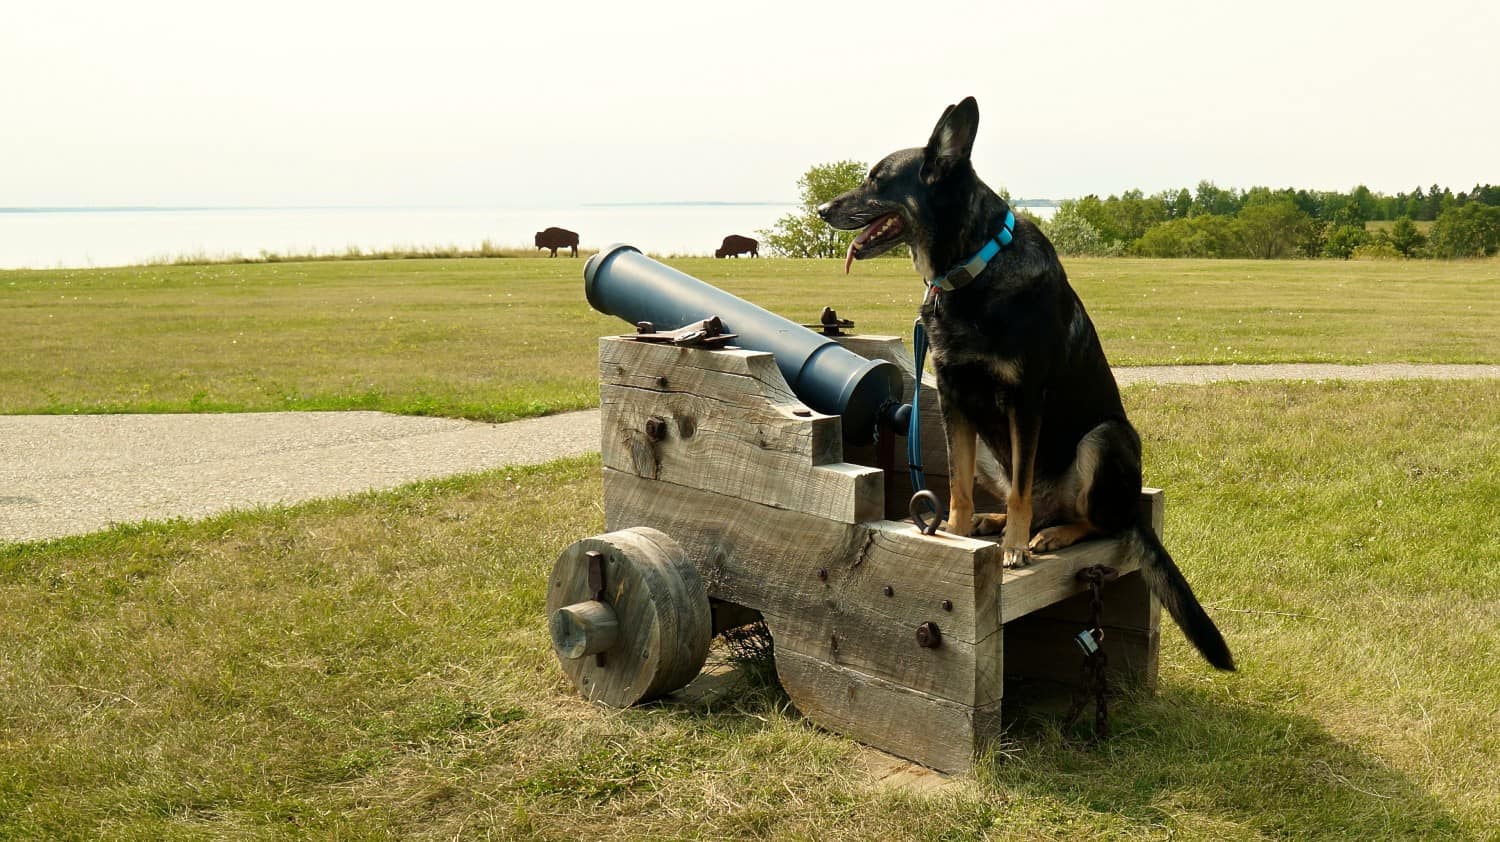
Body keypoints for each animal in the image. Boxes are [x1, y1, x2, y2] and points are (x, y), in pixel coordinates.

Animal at [822, 95, 1230, 666]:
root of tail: (1135, 505)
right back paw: (992, 525)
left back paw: (1050, 534)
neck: (971, 269)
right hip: (993, 449)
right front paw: (956, 534)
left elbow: (1019, 494)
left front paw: (1012, 548)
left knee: (1093, 519)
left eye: (877, 181)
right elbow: (960, 488)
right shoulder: (954, 401)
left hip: (1105, 438)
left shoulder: (1024, 401)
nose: (821, 210)